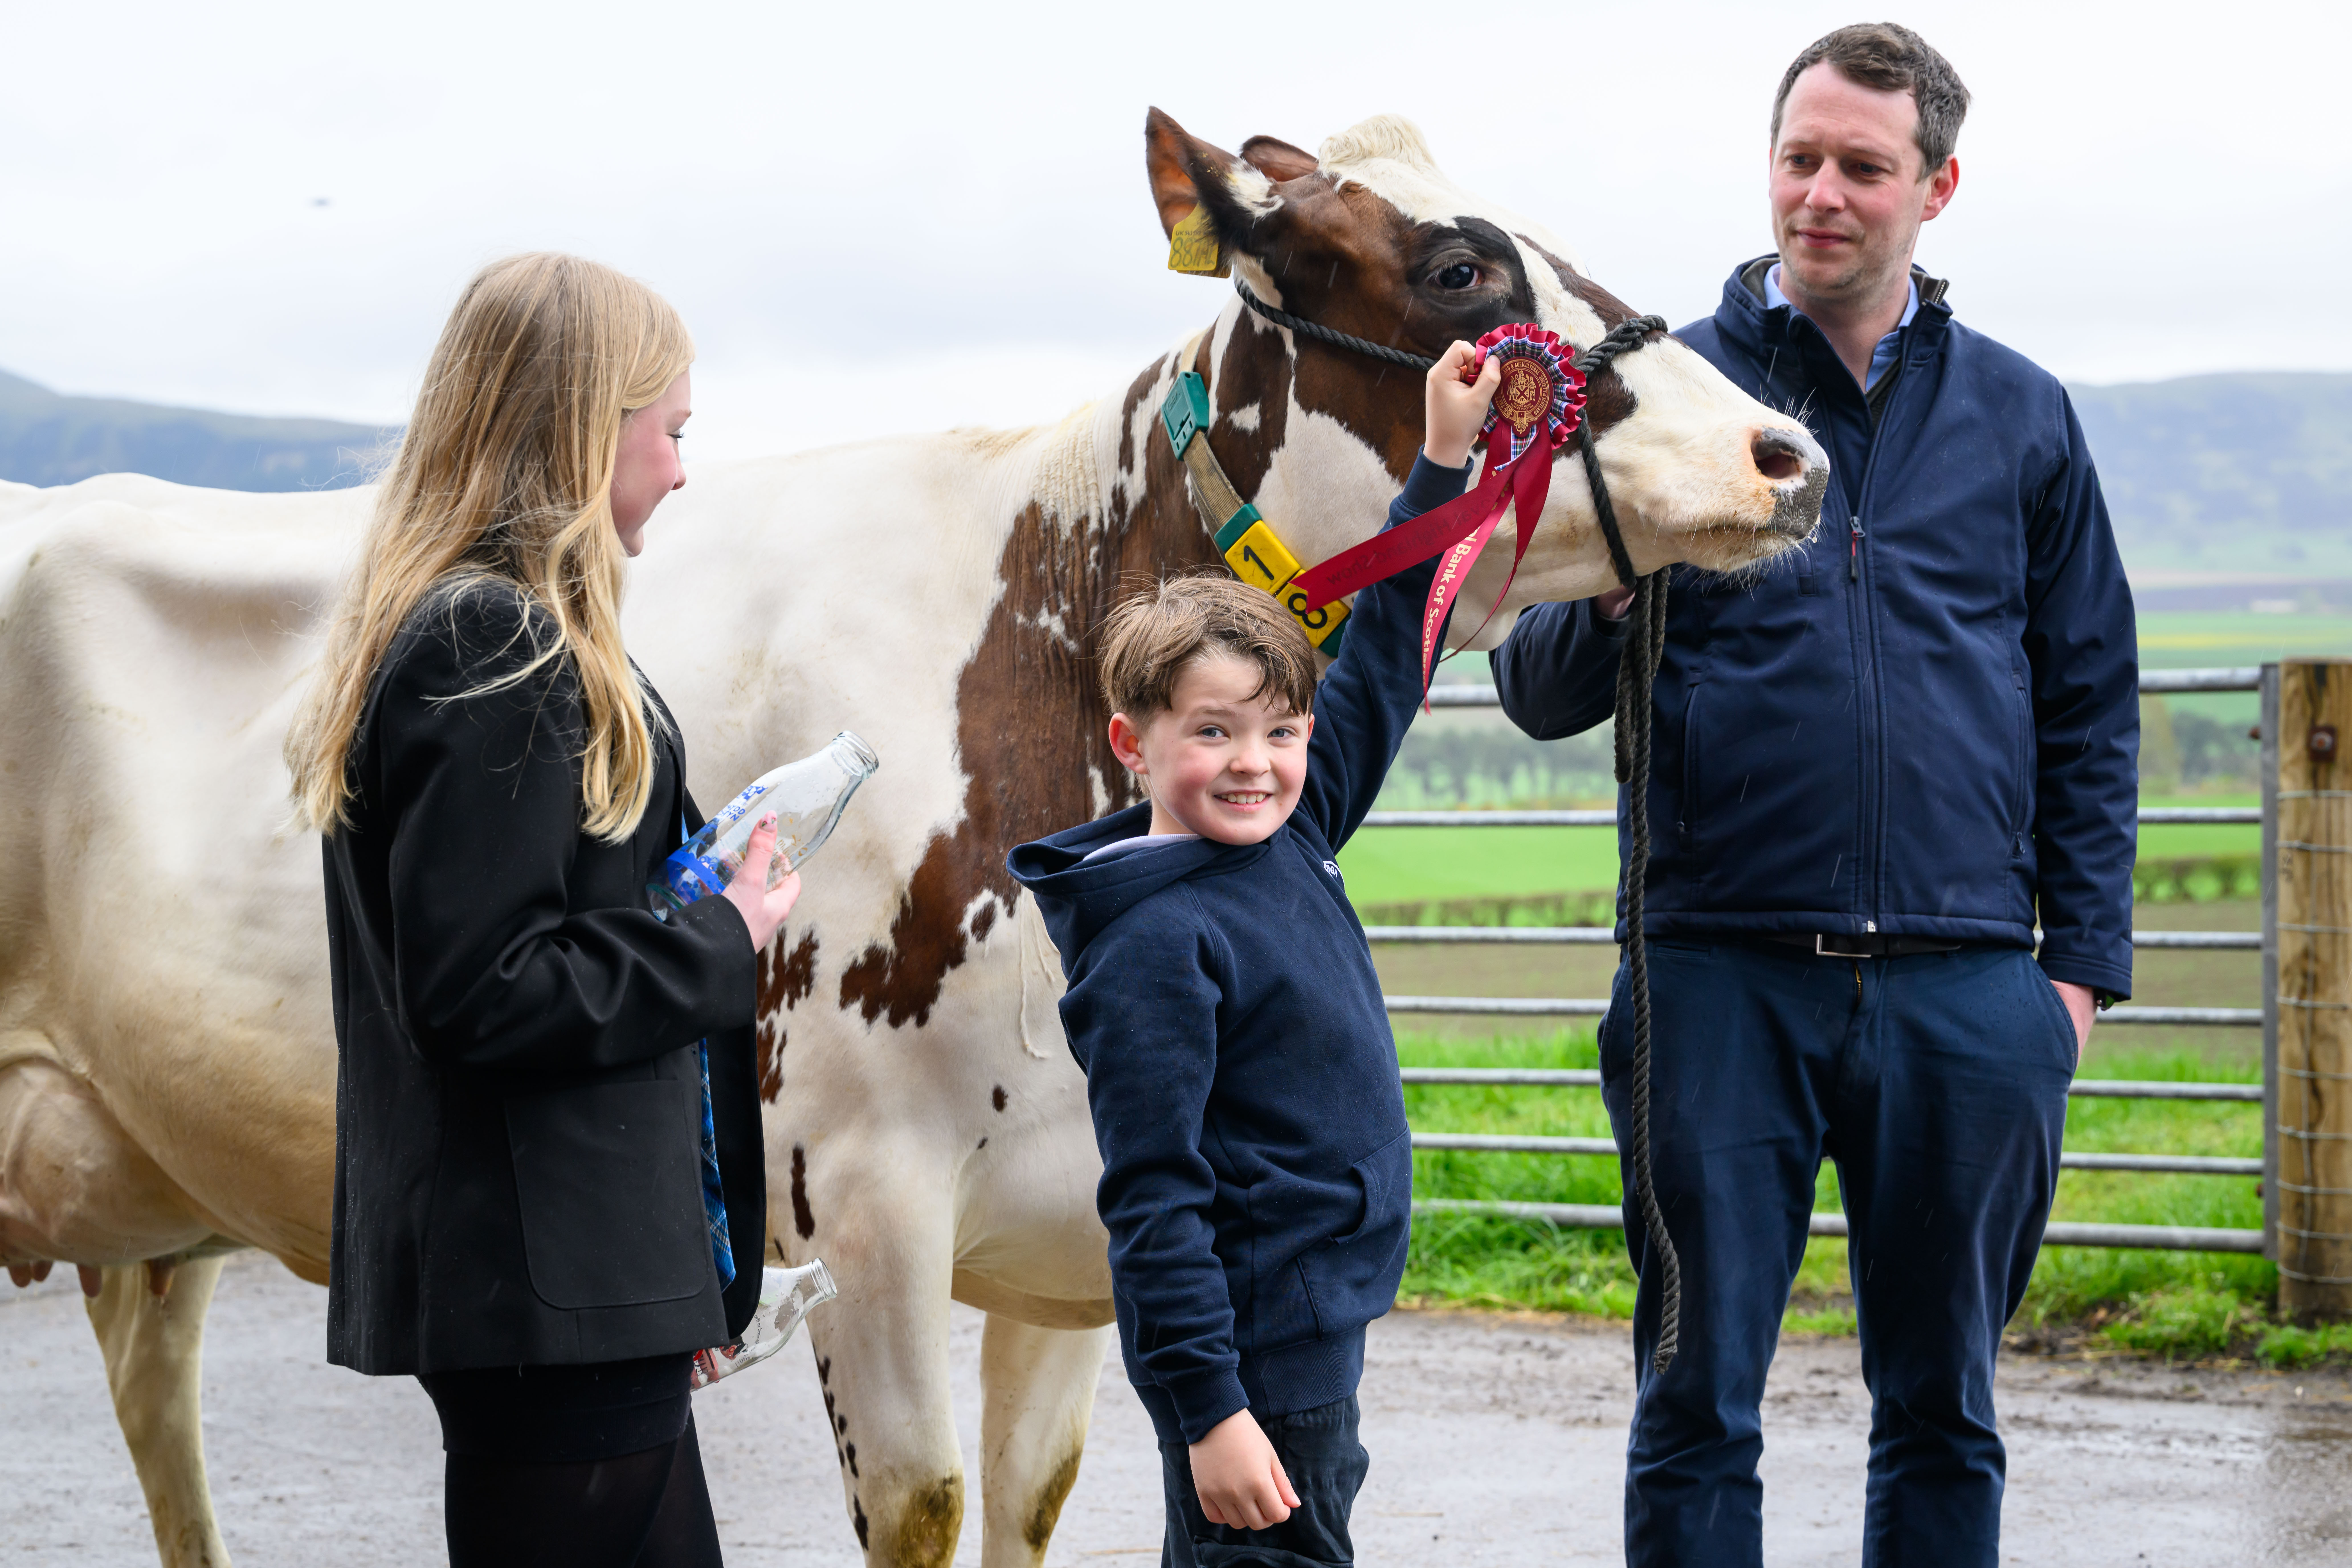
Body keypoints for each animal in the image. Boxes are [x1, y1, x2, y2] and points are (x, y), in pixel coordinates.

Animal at [0, 110, 1825, 1566]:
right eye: (1455, 267)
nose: (1785, 451)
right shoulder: (862, 1205)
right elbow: (931, 1506)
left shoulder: (1089, 1210)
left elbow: (1037, 1492)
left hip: (150, 1197)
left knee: (159, 1408)